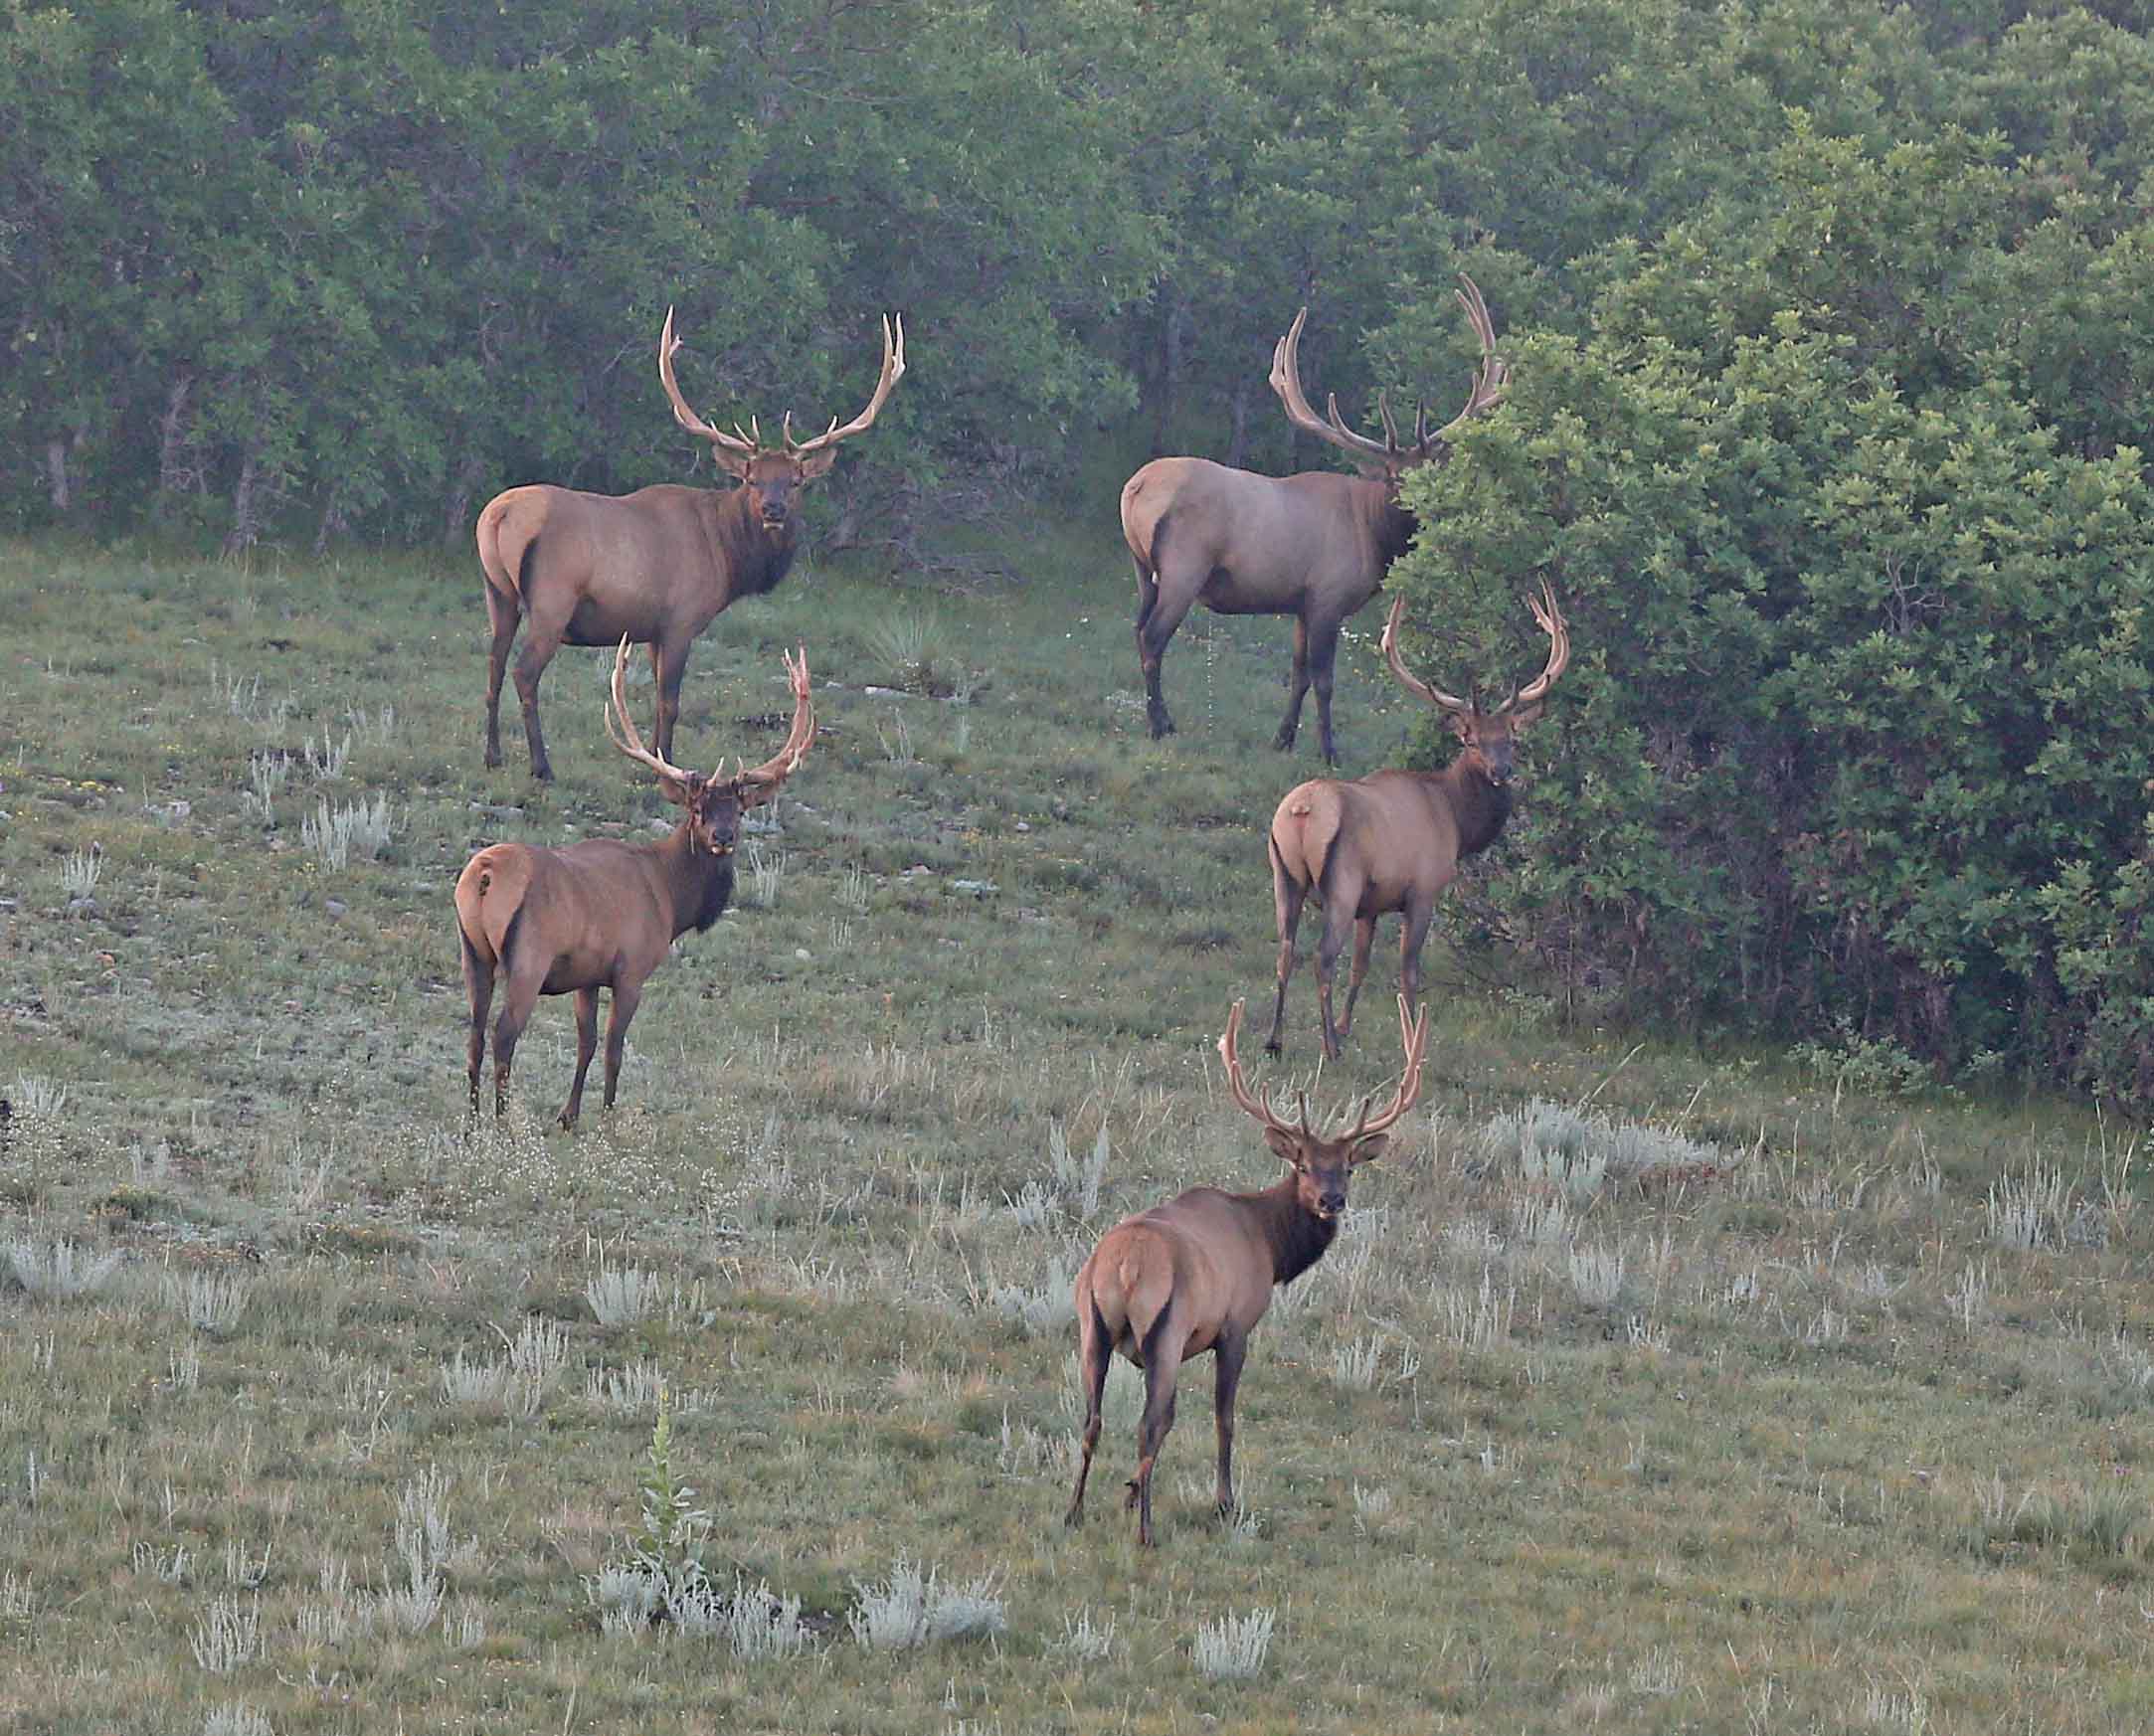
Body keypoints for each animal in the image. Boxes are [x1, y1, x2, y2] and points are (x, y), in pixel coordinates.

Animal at [454, 637, 813, 1128]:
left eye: (738, 810)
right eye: (697, 809)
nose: (723, 837)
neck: (671, 898)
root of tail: (484, 875)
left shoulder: (588, 975)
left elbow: (585, 1042)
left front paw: (569, 1116)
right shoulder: (631, 969)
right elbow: (613, 1050)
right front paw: (607, 1118)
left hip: (472, 950)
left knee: (473, 1031)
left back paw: (472, 1126)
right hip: (529, 956)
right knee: (503, 1033)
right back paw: (503, 1125)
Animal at [471, 307, 900, 780]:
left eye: (795, 480)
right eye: (752, 478)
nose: (773, 509)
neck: (728, 557)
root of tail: (498, 515)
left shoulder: (651, 630)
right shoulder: (681, 619)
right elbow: (669, 702)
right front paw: (666, 763)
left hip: (497, 593)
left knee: (492, 665)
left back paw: (492, 755)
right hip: (553, 598)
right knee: (524, 672)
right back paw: (541, 766)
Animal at [1064, 990, 1430, 1550]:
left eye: (1347, 1166)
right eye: (1302, 1164)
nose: (1331, 1200)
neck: (1272, 1249)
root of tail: (1123, 1266)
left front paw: (1127, 1493)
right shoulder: (1235, 1325)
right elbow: (1224, 1418)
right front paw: (1225, 1502)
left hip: (1092, 1326)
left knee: (1092, 1419)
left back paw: (1075, 1512)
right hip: (1166, 1329)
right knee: (1151, 1422)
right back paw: (1146, 1530)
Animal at [1120, 275, 1508, 767]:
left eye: (1429, 470)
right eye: (1393, 476)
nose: (1416, 505)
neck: (1373, 538)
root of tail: (1134, 488)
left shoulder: (1301, 603)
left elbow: (1298, 673)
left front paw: (1282, 739)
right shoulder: (1328, 596)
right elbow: (1324, 680)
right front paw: (1329, 751)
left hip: (1142, 569)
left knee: (1137, 631)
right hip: (1183, 568)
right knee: (1153, 639)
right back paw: (1160, 725)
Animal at [1257, 586, 1567, 1059]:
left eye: (1511, 739)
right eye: (1470, 741)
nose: (1501, 771)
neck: (1457, 821)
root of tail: (1301, 812)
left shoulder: (1372, 905)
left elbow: (1362, 966)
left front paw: (1348, 1025)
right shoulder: (1421, 890)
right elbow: (1408, 973)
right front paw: (1411, 1040)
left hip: (1284, 875)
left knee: (1286, 950)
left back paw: (1276, 1040)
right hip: (1341, 881)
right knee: (1322, 957)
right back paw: (1330, 1047)